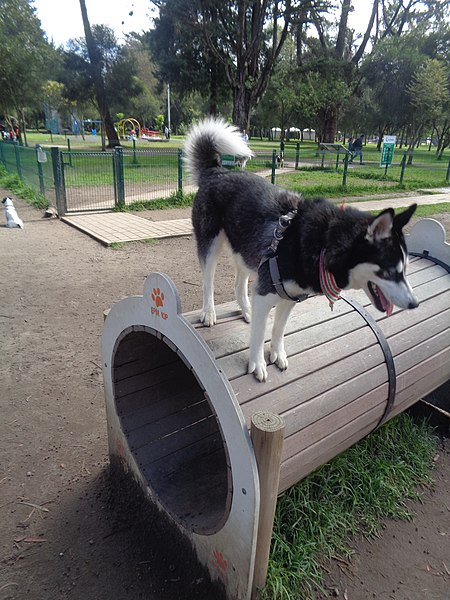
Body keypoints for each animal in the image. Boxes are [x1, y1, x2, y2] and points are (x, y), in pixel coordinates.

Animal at [185, 119, 418, 382]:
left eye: (404, 270)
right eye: (390, 272)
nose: (414, 304)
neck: (322, 243)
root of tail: (217, 171)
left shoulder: (290, 296)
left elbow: (278, 329)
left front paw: (277, 354)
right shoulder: (266, 293)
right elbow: (259, 334)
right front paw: (257, 364)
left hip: (245, 248)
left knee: (239, 283)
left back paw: (246, 310)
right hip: (211, 245)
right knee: (208, 282)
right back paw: (209, 313)